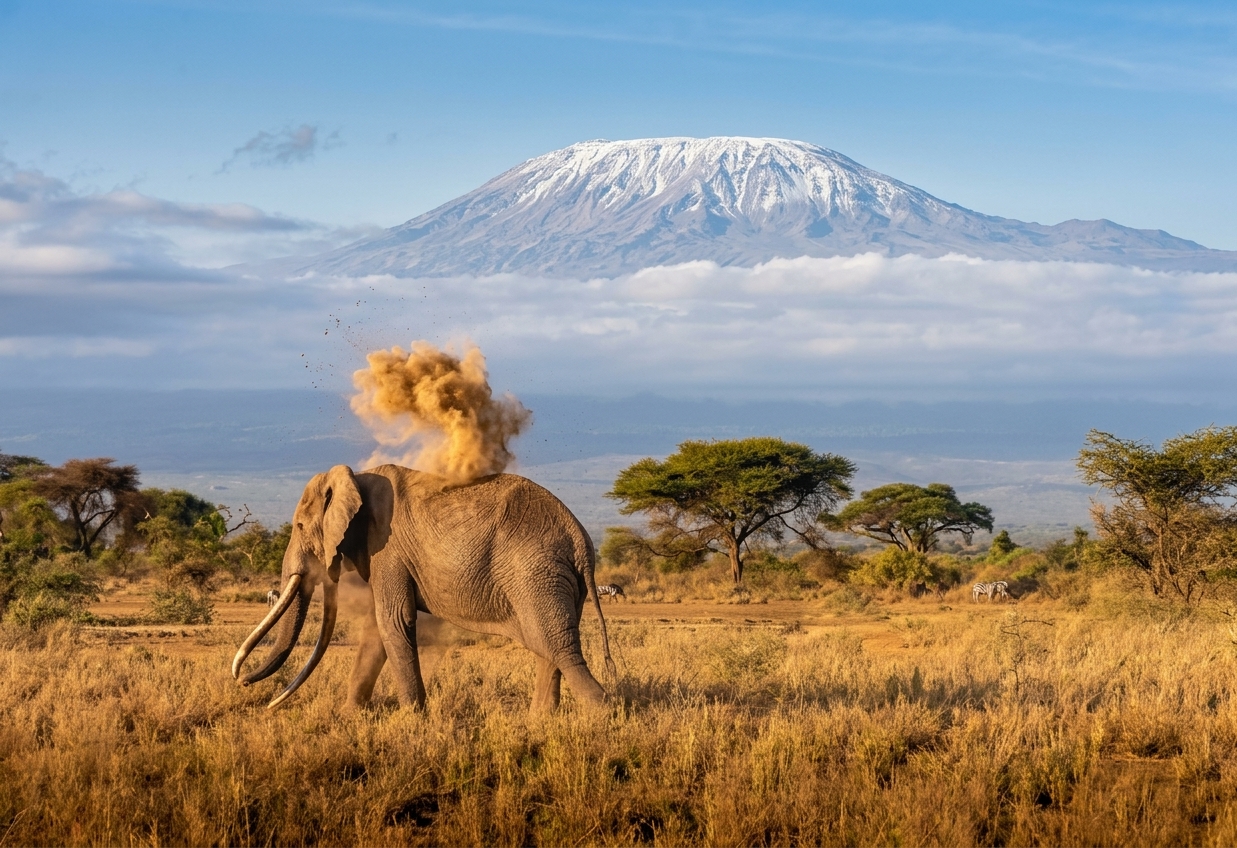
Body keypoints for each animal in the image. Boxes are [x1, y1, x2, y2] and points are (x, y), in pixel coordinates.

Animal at [232, 464, 614, 713]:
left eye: (298, 525)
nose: (245, 684)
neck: (355, 478)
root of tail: (581, 541)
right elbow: (377, 627)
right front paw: (349, 717)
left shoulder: (388, 547)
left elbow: (393, 621)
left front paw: (413, 720)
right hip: (551, 579)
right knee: (548, 645)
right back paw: (539, 722)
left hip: (535, 572)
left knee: (558, 646)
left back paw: (604, 716)